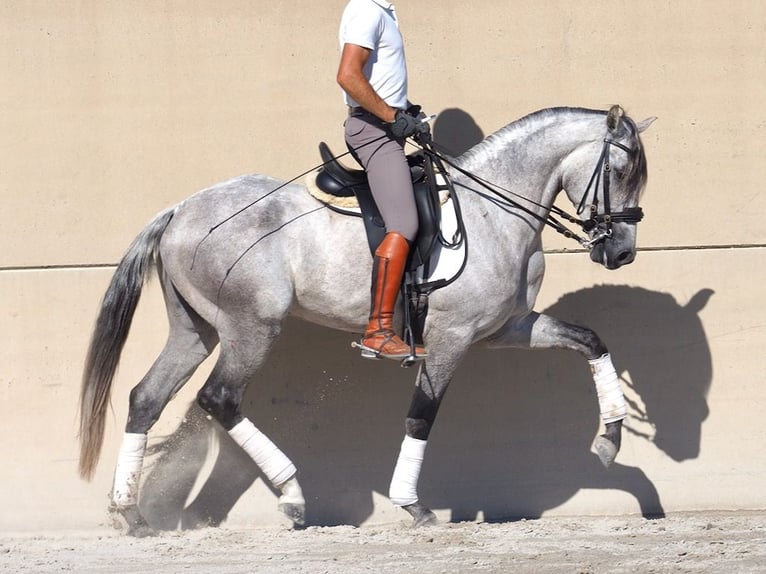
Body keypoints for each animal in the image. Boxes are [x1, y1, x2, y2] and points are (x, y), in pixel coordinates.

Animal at [78, 106, 656, 536]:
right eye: (621, 171)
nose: (622, 252)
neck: (494, 212)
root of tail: (179, 209)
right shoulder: (452, 337)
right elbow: (421, 416)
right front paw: (413, 505)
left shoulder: (505, 329)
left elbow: (590, 340)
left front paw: (610, 438)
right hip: (252, 327)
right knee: (219, 398)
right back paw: (292, 495)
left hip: (194, 330)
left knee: (146, 398)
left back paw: (131, 514)